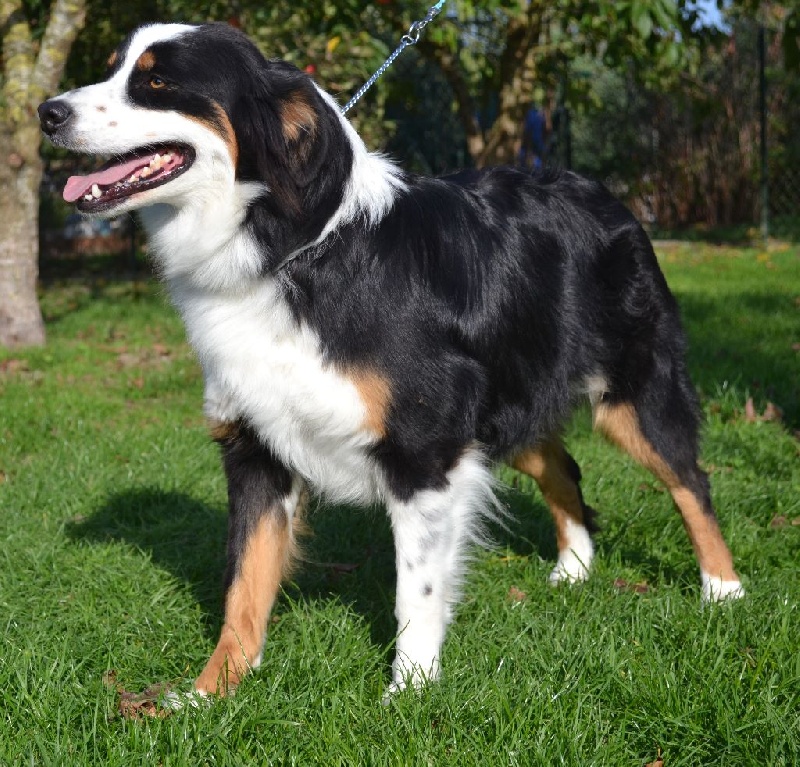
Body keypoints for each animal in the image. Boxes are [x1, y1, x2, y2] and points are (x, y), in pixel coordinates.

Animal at [39, 22, 744, 701]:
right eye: (112, 68)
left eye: (157, 82)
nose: (47, 111)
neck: (290, 250)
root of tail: (604, 192)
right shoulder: (257, 448)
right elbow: (243, 585)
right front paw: (211, 693)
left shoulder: (424, 449)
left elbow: (417, 591)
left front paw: (409, 694)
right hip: (504, 407)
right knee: (562, 466)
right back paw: (574, 568)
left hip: (631, 393)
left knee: (691, 480)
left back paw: (723, 592)